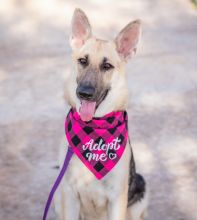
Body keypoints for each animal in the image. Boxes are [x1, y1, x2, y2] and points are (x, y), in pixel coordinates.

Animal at [53, 8, 148, 220]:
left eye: (107, 66)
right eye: (82, 61)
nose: (84, 93)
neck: (94, 129)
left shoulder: (117, 199)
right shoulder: (69, 194)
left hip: (140, 192)